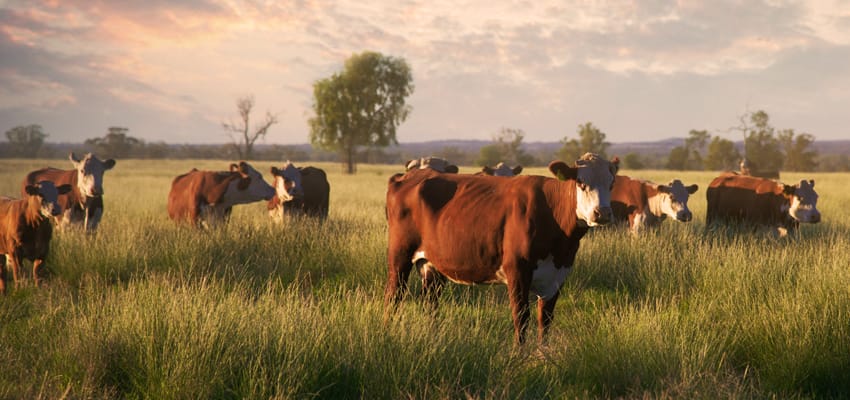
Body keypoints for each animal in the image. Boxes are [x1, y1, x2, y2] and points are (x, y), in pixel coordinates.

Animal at [384, 153, 616, 344]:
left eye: (611, 183)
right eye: (581, 182)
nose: (602, 213)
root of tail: (407, 176)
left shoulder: (557, 275)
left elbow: (545, 320)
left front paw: (544, 358)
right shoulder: (518, 271)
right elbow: (521, 318)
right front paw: (519, 358)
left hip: (431, 265)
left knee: (430, 303)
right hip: (400, 256)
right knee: (393, 297)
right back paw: (389, 335)